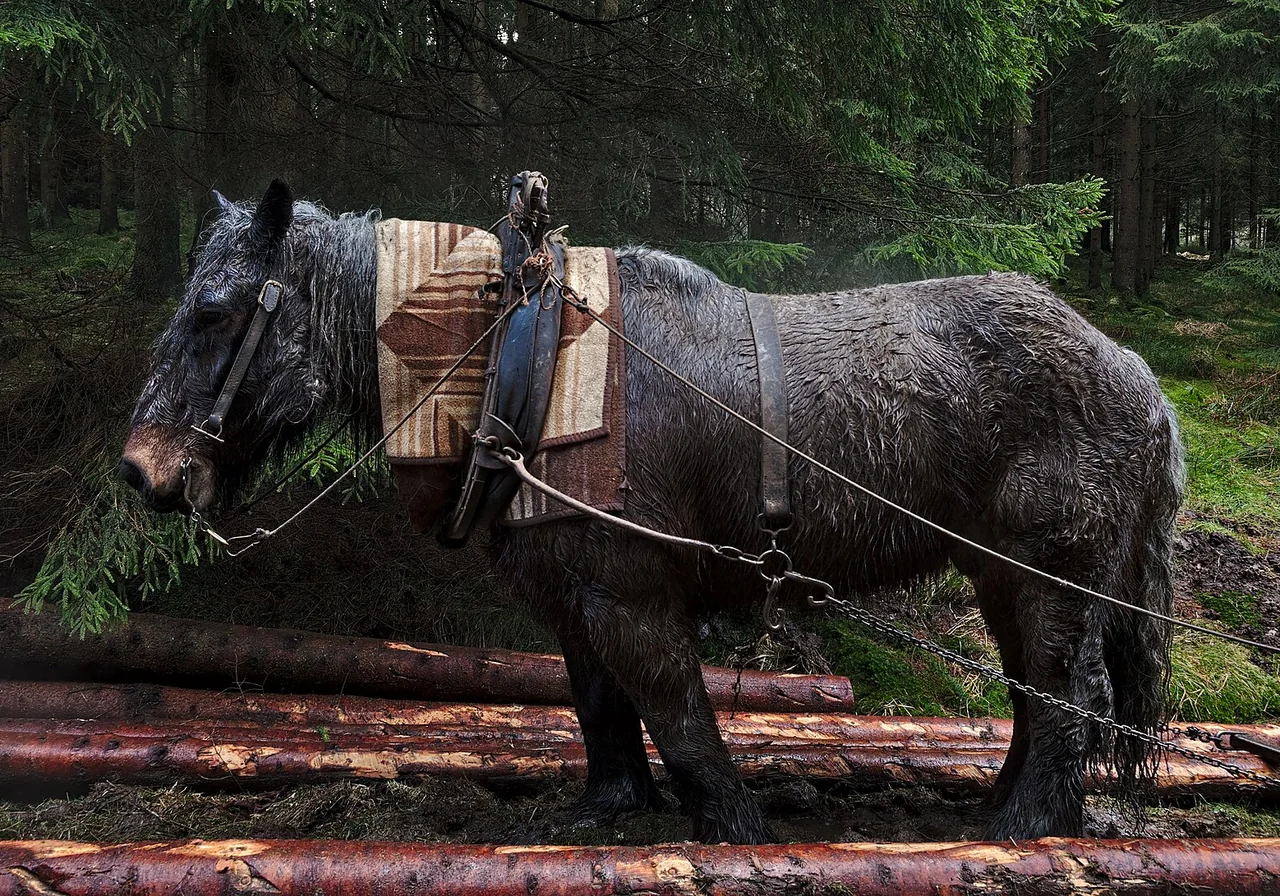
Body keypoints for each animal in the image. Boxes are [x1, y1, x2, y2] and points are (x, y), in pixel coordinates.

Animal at [120, 180, 1184, 844]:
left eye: (214, 311)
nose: (140, 470)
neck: (517, 362)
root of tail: (1144, 379)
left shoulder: (631, 591)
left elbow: (679, 715)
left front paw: (736, 831)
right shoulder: (573, 593)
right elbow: (600, 708)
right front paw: (607, 810)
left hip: (1052, 574)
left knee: (1070, 693)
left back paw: (1025, 828)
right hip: (1002, 575)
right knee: (1034, 693)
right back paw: (1008, 810)